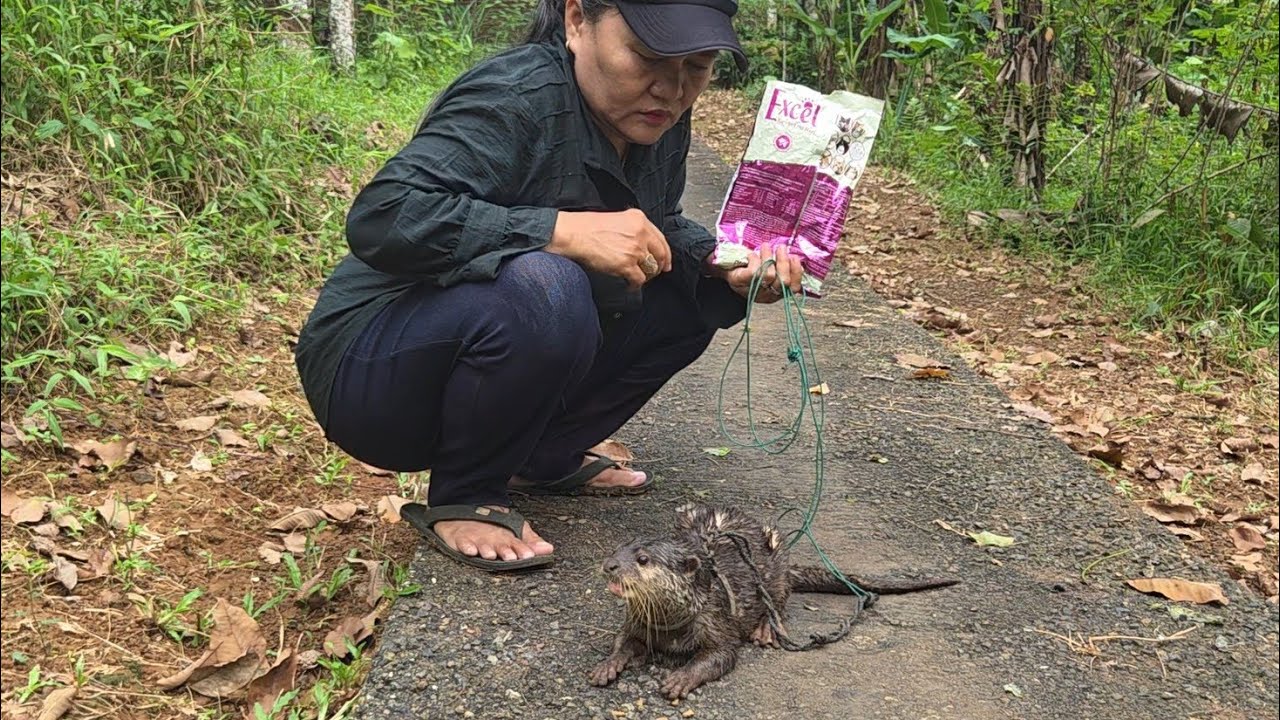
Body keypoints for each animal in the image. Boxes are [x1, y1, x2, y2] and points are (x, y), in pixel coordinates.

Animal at [588, 503, 958, 699]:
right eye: (618, 549)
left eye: (643, 559)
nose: (609, 565)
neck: (671, 622)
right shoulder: (637, 622)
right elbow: (623, 642)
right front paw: (608, 664)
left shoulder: (717, 620)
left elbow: (721, 655)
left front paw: (682, 678)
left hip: (777, 562)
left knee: (780, 600)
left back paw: (766, 628)